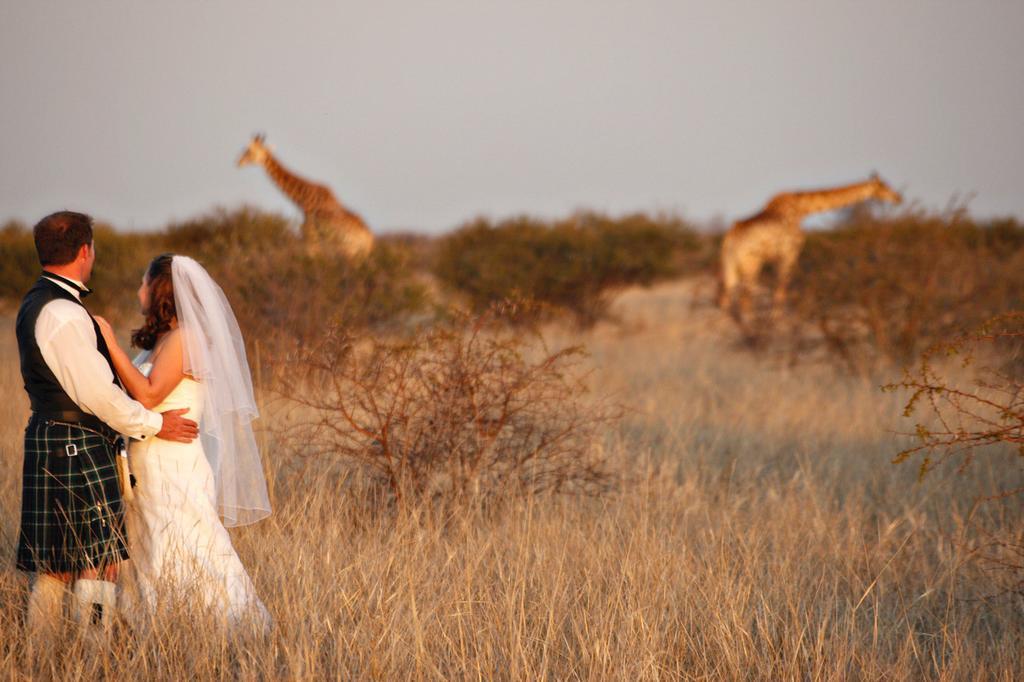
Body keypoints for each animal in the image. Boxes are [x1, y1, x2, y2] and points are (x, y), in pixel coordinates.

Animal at [237, 134, 374, 259]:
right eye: (246, 149)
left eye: (249, 151)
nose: (238, 162)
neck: (303, 199)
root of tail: (369, 239)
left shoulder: (311, 238)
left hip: (348, 250)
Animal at [716, 174, 901, 315]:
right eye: (883, 186)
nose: (898, 198)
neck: (802, 209)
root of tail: (731, 239)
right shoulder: (790, 252)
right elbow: (781, 290)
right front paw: (778, 322)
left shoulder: (781, 256)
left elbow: (779, 290)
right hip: (751, 264)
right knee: (745, 298)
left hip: (729, 265)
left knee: (726, 298)